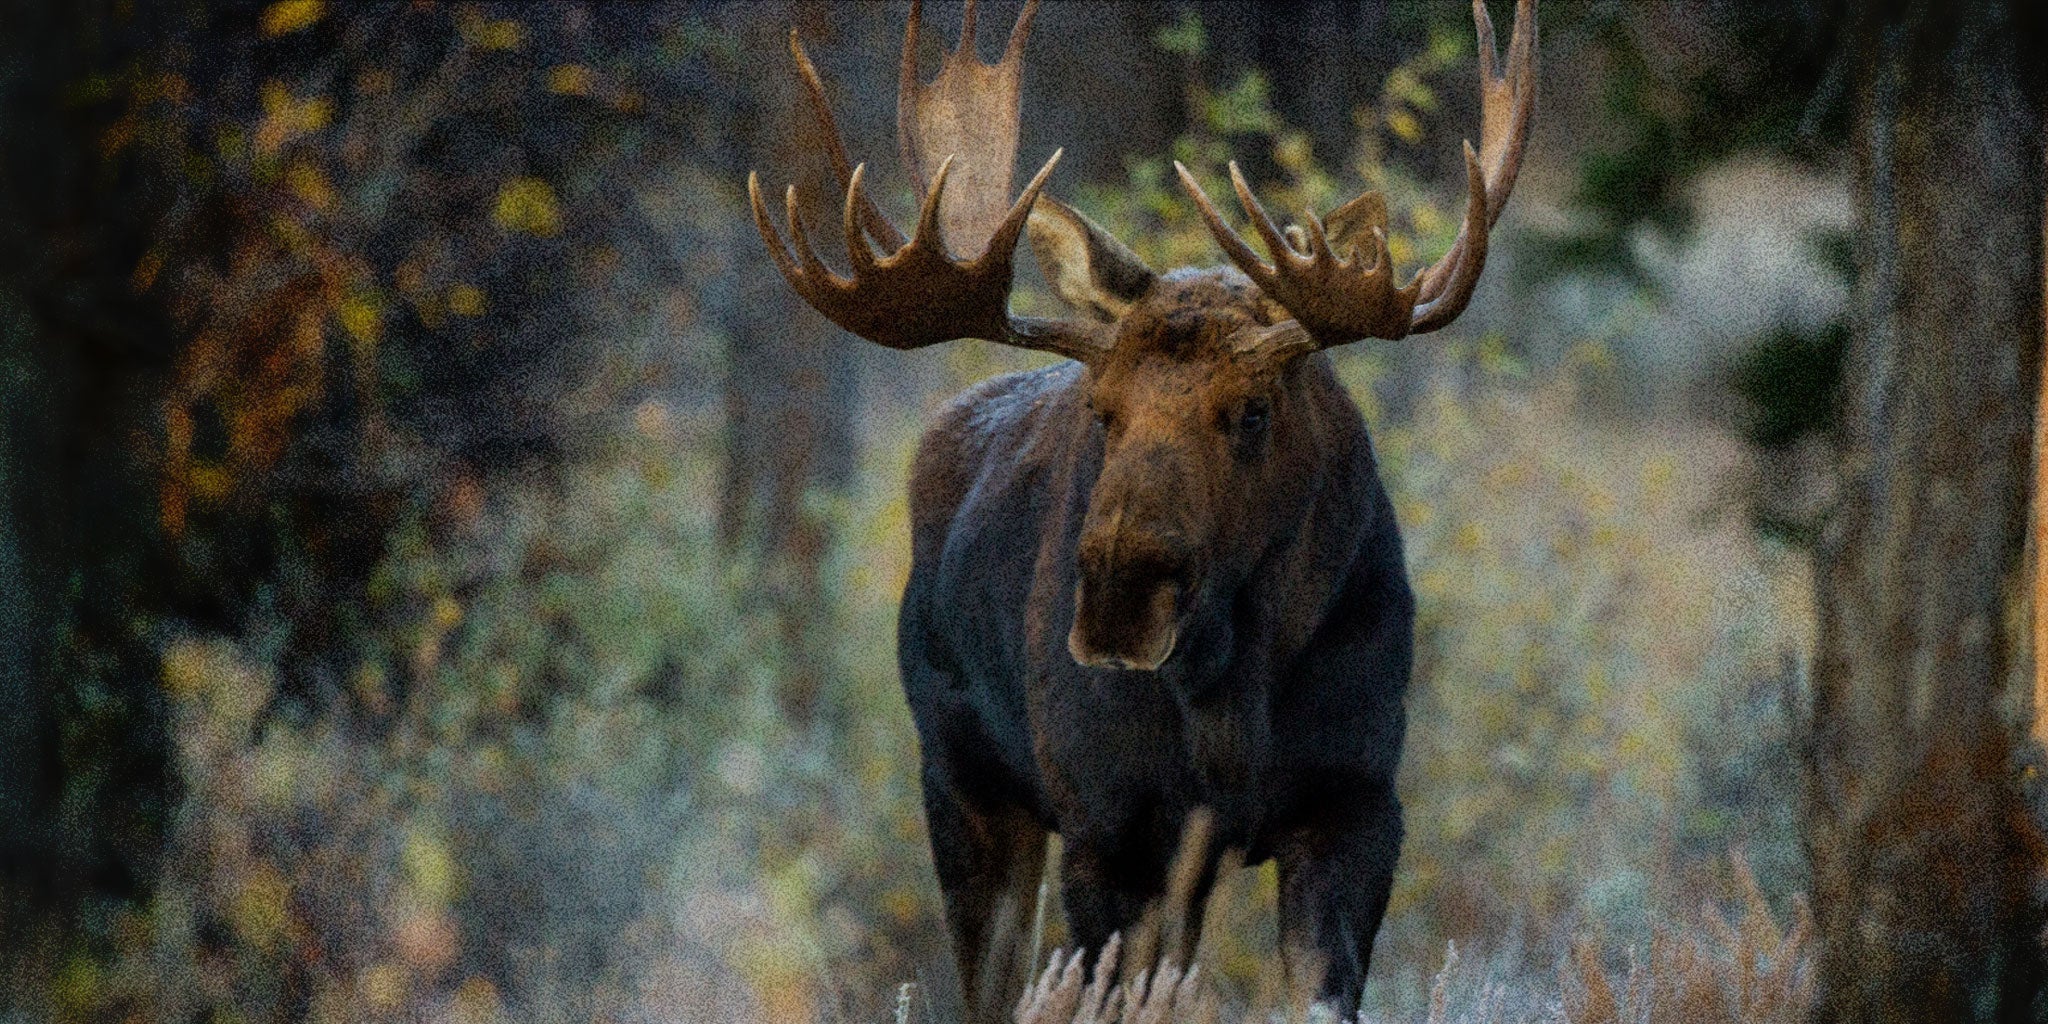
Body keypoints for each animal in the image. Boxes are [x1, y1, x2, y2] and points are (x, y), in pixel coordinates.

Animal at [747, 1, 1535, 1019]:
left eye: (1253, 410)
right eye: (1102, 409)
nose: (1121, 597)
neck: (1233, 693)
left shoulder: (1357, 803)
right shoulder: (1108, 829)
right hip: (963, 783)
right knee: (990, 982)